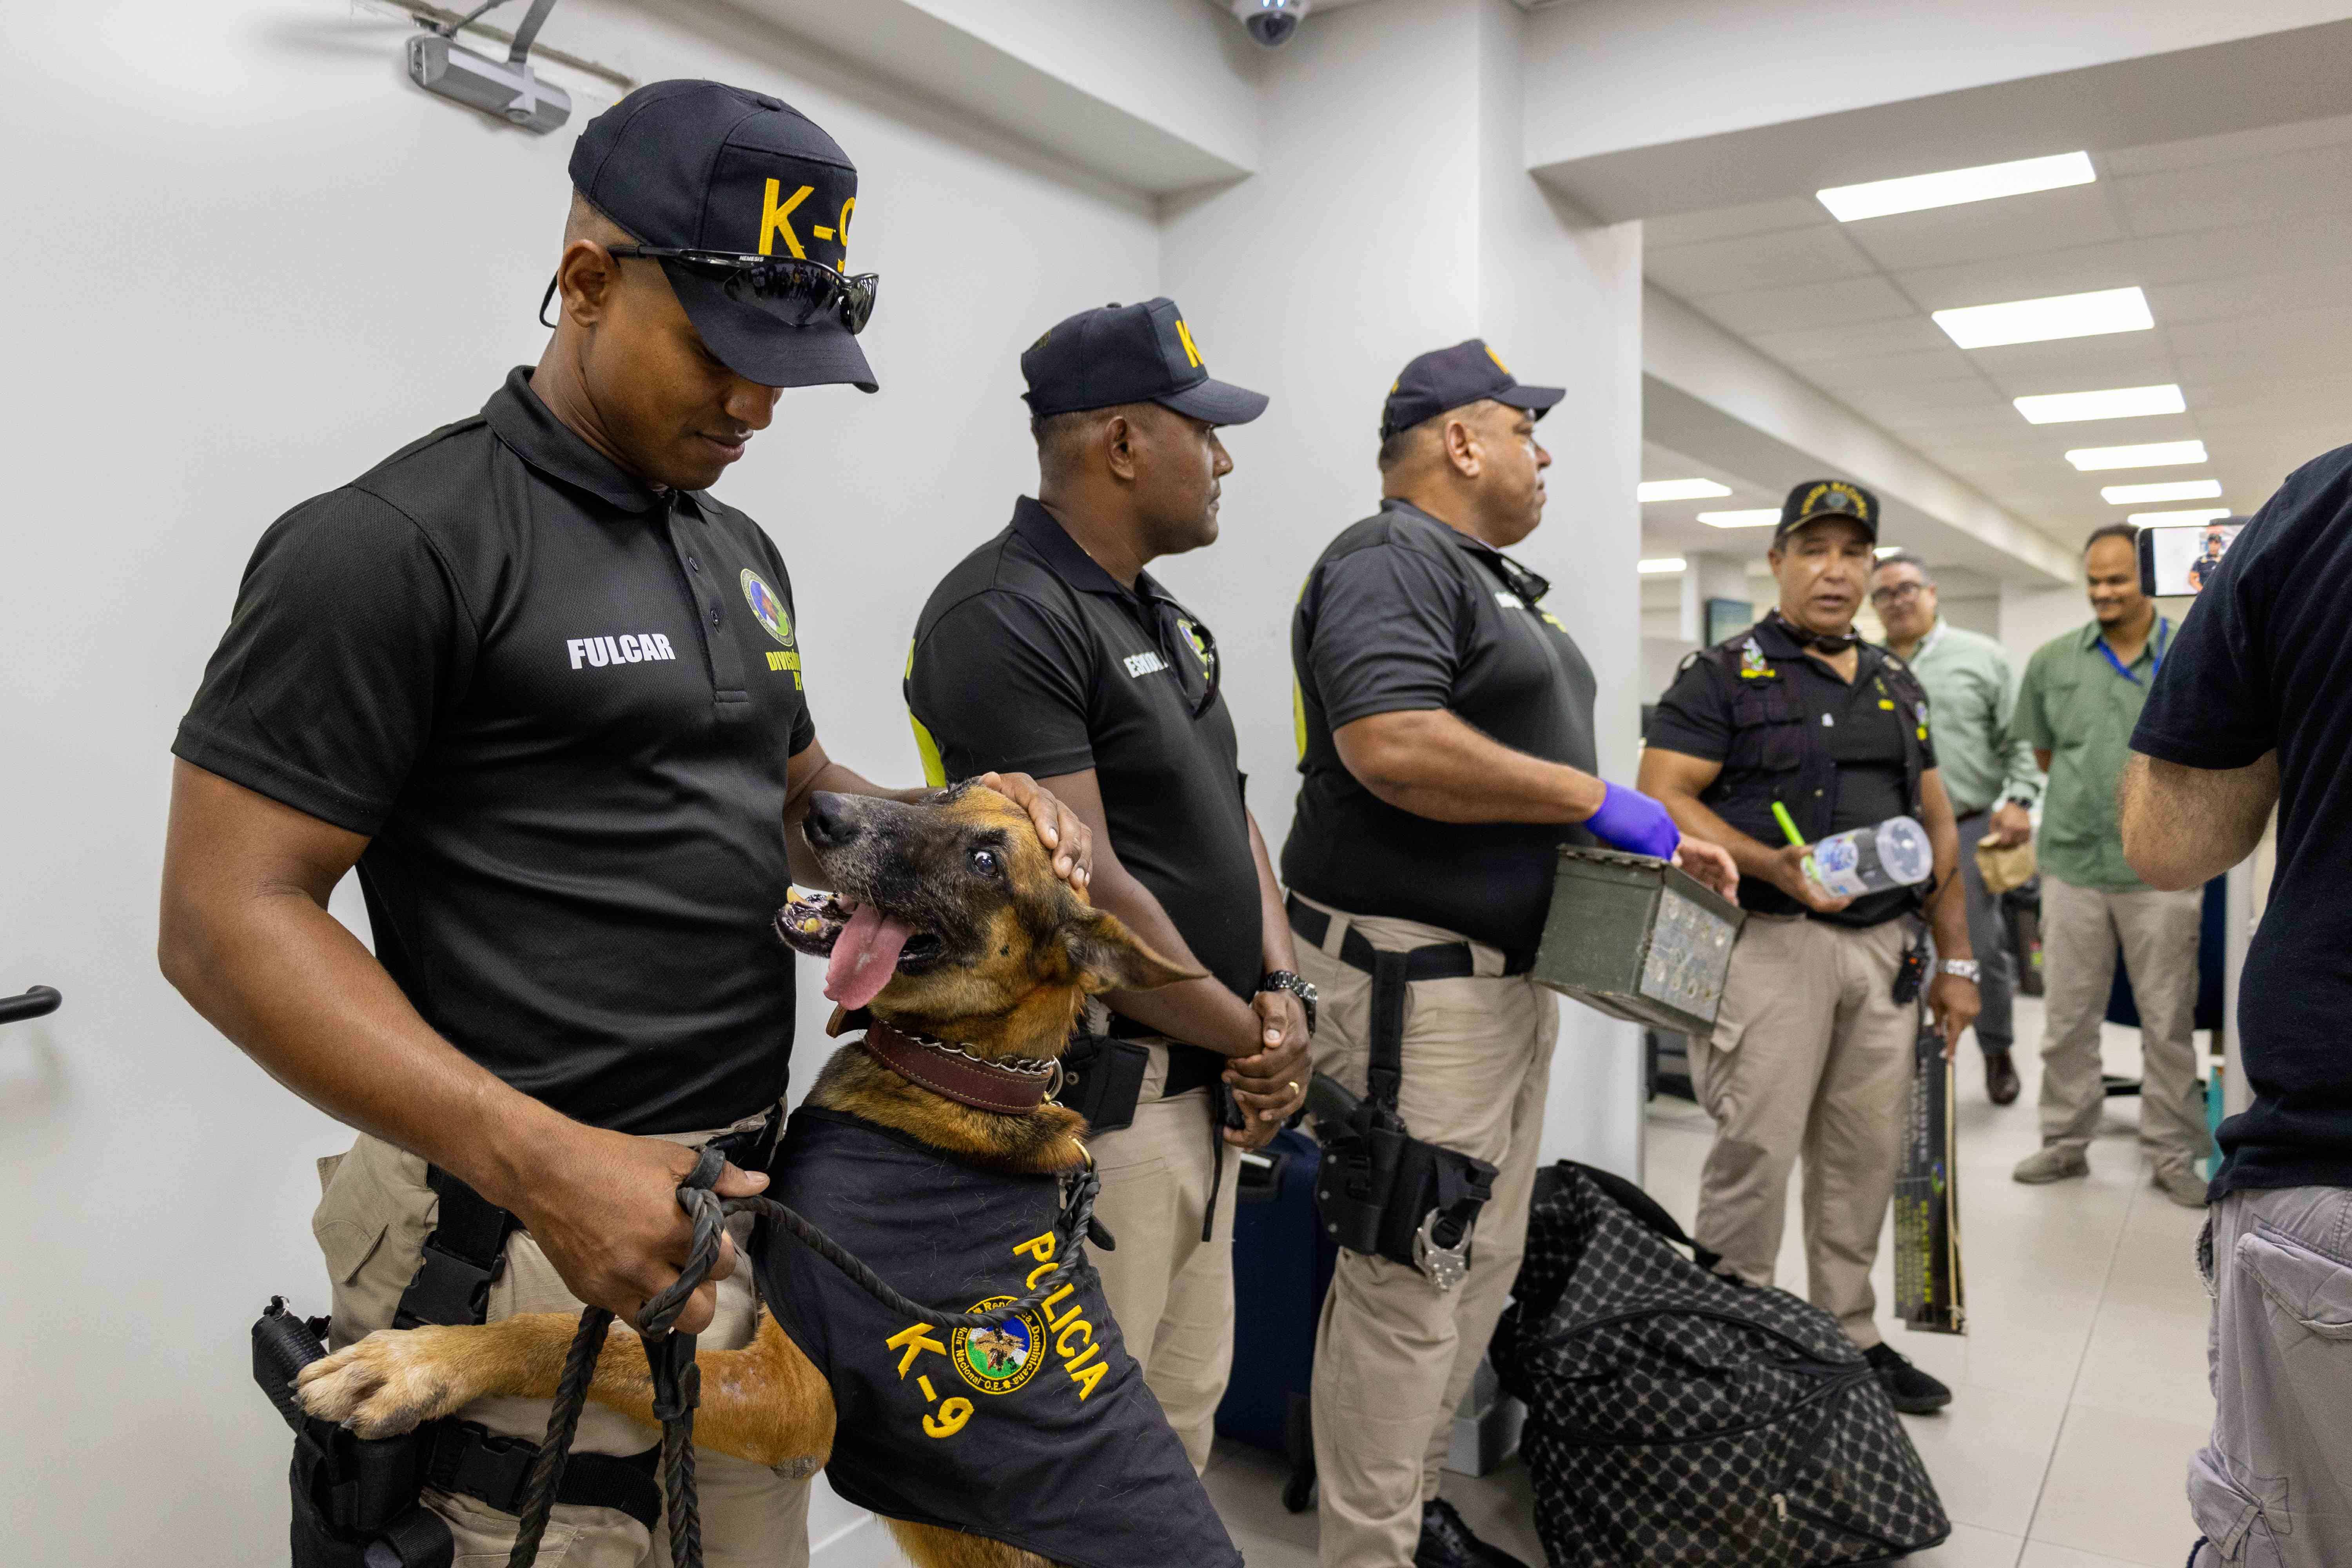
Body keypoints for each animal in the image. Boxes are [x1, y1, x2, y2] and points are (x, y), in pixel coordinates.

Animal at [303, 785, 1242, 1568]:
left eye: (986, 861)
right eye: (945, 789)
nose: (824, 811)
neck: (960, 1075)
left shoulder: (790, 1395)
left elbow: (562, 1334)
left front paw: (417, 1362)